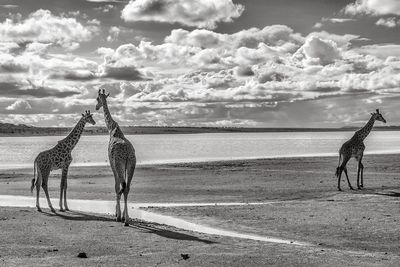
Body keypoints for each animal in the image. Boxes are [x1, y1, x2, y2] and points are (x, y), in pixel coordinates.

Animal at [96, 89, 137, 226]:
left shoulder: (112, 164)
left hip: (119, 164)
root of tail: (127, 154)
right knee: (127, 187)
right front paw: (120, 214)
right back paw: (127, 218)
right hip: (131, 165)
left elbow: (116, 187)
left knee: (122, 187)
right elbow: (121, 187)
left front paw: (117, 215)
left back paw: (123, 219)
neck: (111, 129)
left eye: (97, 99)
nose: (96, 107)